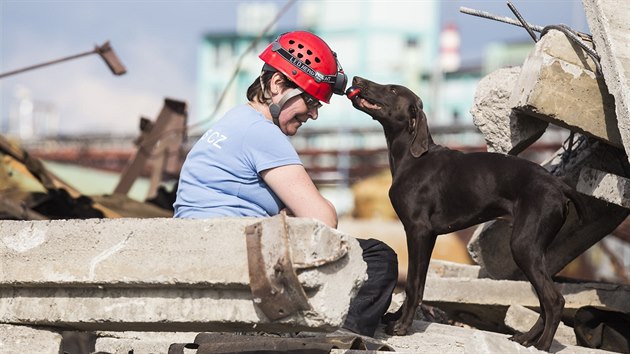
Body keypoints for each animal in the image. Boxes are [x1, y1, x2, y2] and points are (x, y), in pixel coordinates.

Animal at [348, 75, 584, 352]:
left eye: (392, 89)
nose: (356, 79)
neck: (411, 158)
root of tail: (558, 184)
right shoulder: (429, 237)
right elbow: (418, 283)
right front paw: (397, 318)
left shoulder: (418, 231)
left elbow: (413, 285)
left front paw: (402, 327)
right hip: (532, 252)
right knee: (545, 301)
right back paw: (526, 338)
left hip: (524, 246)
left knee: (554, 300)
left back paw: (542, 345)